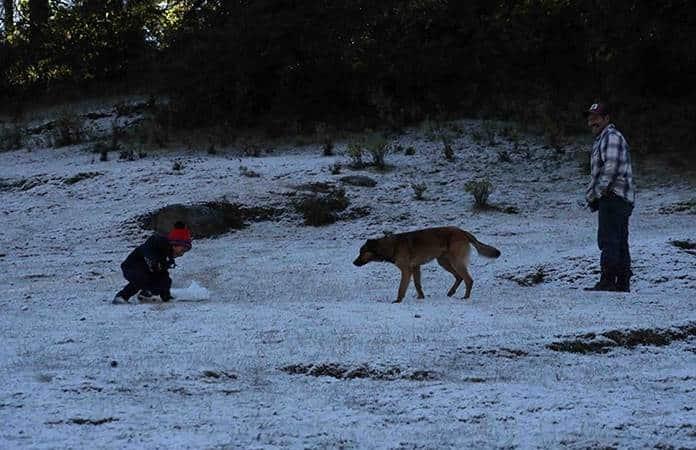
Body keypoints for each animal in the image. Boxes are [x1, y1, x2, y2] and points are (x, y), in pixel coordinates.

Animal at [354, 227, 500, 304]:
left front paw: (398, 300)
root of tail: (462, 231)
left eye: (362, 252)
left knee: (468, 279)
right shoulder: (415, 268)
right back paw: (451, 292)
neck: (391, 246)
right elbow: (417, 284)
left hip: (455, 262)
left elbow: (401, 288)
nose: (353, 263)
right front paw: (421, 297)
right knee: (459, 277)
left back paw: (466, 297)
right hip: (444, 262)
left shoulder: (406, 270)